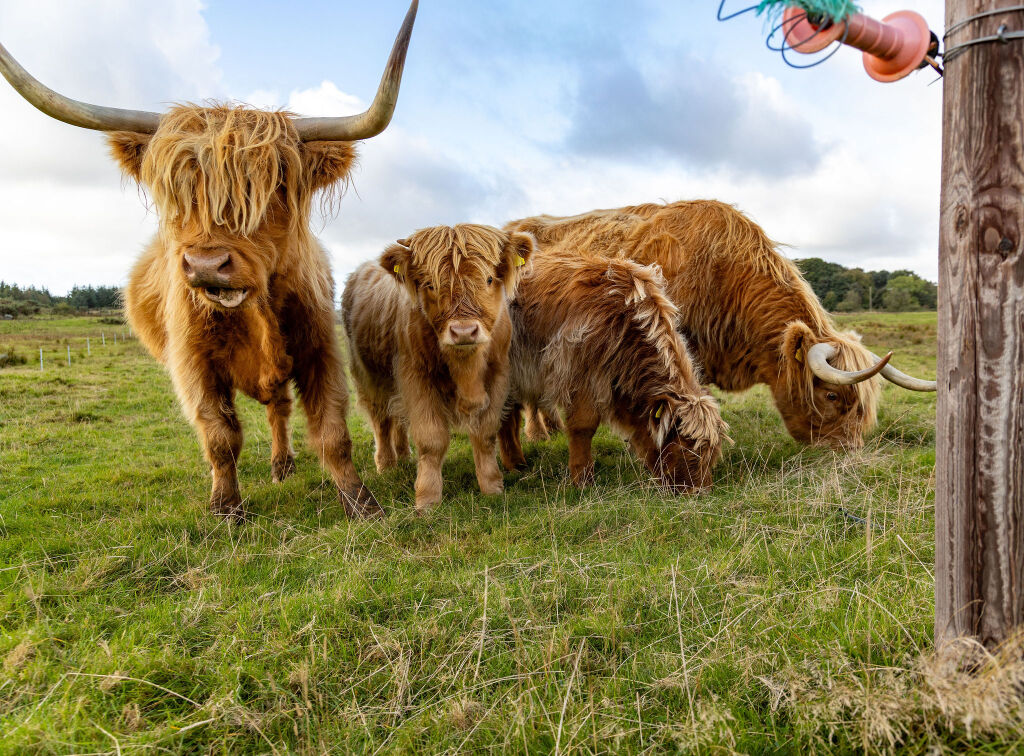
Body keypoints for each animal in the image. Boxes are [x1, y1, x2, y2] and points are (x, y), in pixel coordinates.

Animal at [0, 2, 419, 519]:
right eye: (178, 190)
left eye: (276, 185)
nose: (205, 264)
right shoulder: (192, 363)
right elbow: (220, 435)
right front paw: (226, 508)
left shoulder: (319, 346)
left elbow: (332, 430)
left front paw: (362, 504)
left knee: (278, 408)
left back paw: (283, 464)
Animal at [342, 224, 535, 514]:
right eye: (430, 284)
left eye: (489, 279)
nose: (464, 331)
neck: (466, 368)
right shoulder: (415, 378)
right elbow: (431, 440)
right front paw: (427, 499)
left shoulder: (499, 375)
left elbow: (485, 434)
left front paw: (492, 486)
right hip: (369, 378)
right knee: (382, 421)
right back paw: (386, 464)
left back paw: (403, 455)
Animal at [499, 254, 728, 490]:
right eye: (685, 447)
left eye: (711, 454)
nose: (699, 491)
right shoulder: (580, 374)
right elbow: (584, 426)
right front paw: (582, 478)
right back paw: (515, 464)